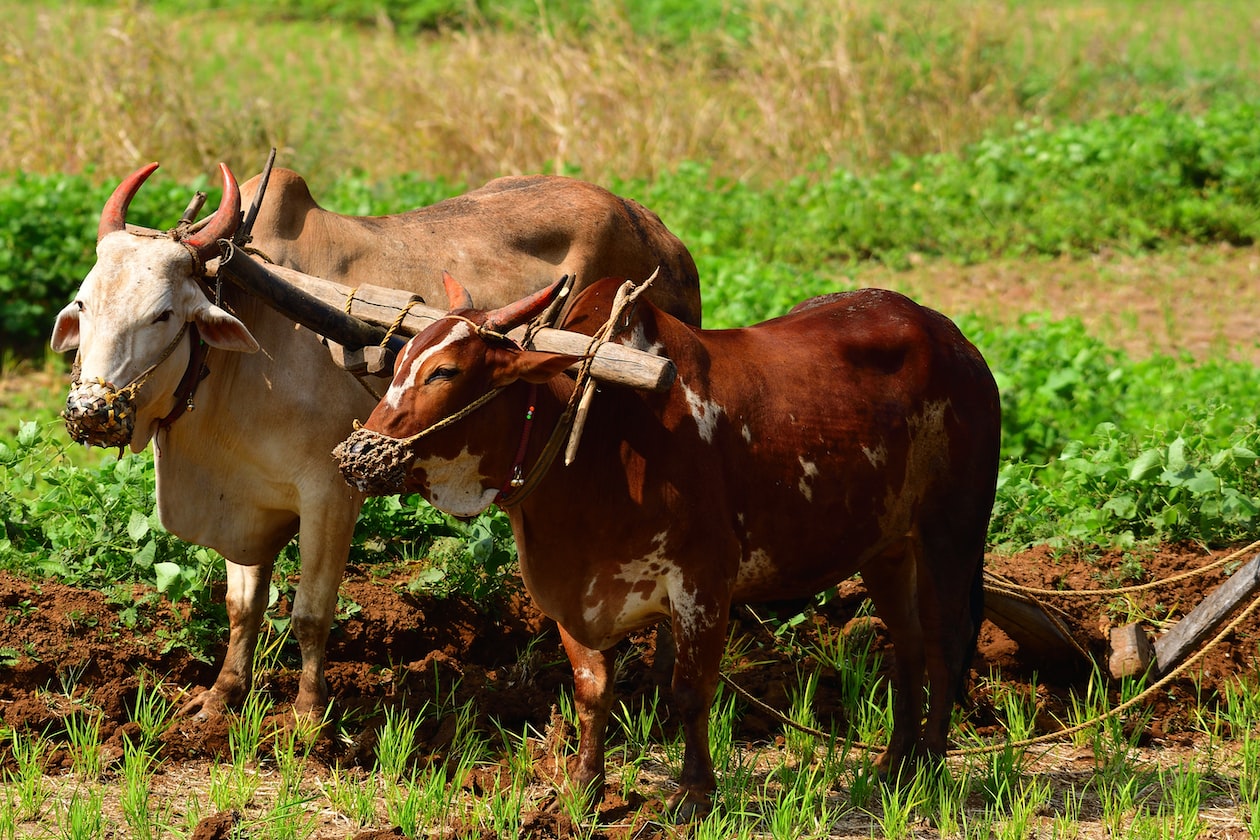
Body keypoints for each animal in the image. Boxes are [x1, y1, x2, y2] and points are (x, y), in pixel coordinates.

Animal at [49, 162, 702, 724]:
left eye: (162, 314)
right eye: (83, 303)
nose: (88, 412)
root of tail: (664, 237)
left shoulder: (331, 494)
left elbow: (310, 615)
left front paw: (308, 715)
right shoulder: (247, 497)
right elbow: (243, 607)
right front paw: (221, 698)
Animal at [334, 273, 1001, 816]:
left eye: (444, 372)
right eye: (398, 362)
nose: (356, 455)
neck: (599, 434)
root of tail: (953, 339)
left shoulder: (703, 584)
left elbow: (689, 691)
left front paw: (695, 794)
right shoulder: (573, 596)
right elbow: (591, 693)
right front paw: (584, 788)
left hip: (952, 531)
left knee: (944, 643)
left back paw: (932, 768)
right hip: (888, 548)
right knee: (907, 644)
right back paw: (894, 766)